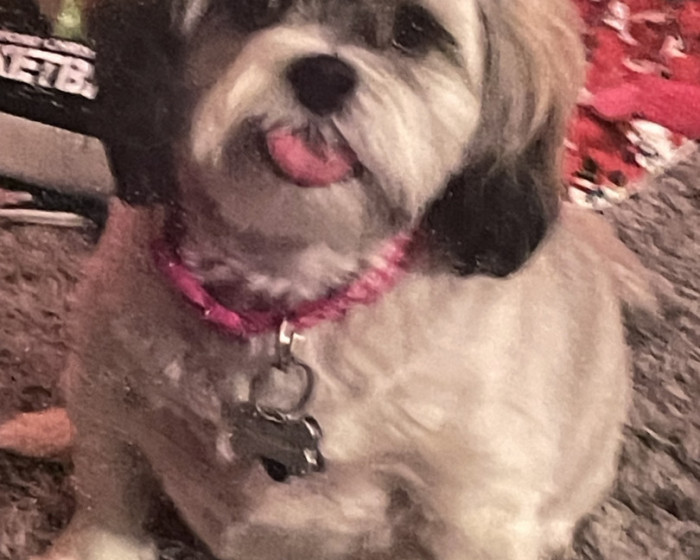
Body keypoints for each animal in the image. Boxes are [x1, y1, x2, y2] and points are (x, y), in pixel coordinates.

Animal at [51, 1, 657, 559]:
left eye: (413, 31)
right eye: (256, 7)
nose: (323, 76)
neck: (288, 302)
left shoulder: (477, 507)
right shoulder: (104, 396)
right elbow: (107, 496)